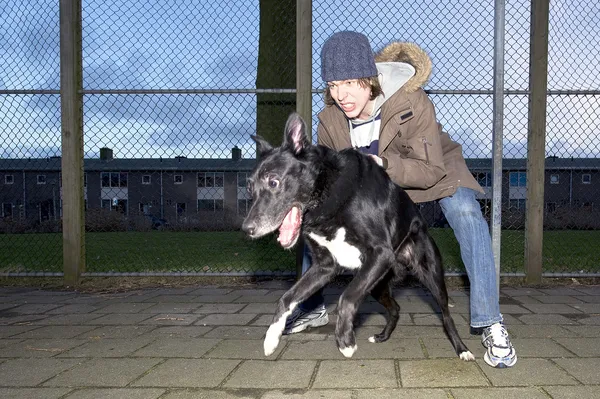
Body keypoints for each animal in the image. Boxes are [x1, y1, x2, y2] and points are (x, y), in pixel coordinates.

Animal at [240, 112, 474, 362]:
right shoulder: (324, 267)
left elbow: (346, 298)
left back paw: (462, 349)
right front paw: (272, 337)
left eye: (273, 181)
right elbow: (286, 298)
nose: (247, 229)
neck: (327, 192)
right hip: (377, 284)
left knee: (446, 316)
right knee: (395, 308)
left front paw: (346, 341)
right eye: (249, 188)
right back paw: (382, 336)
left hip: (430, 275)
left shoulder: (380, 254)